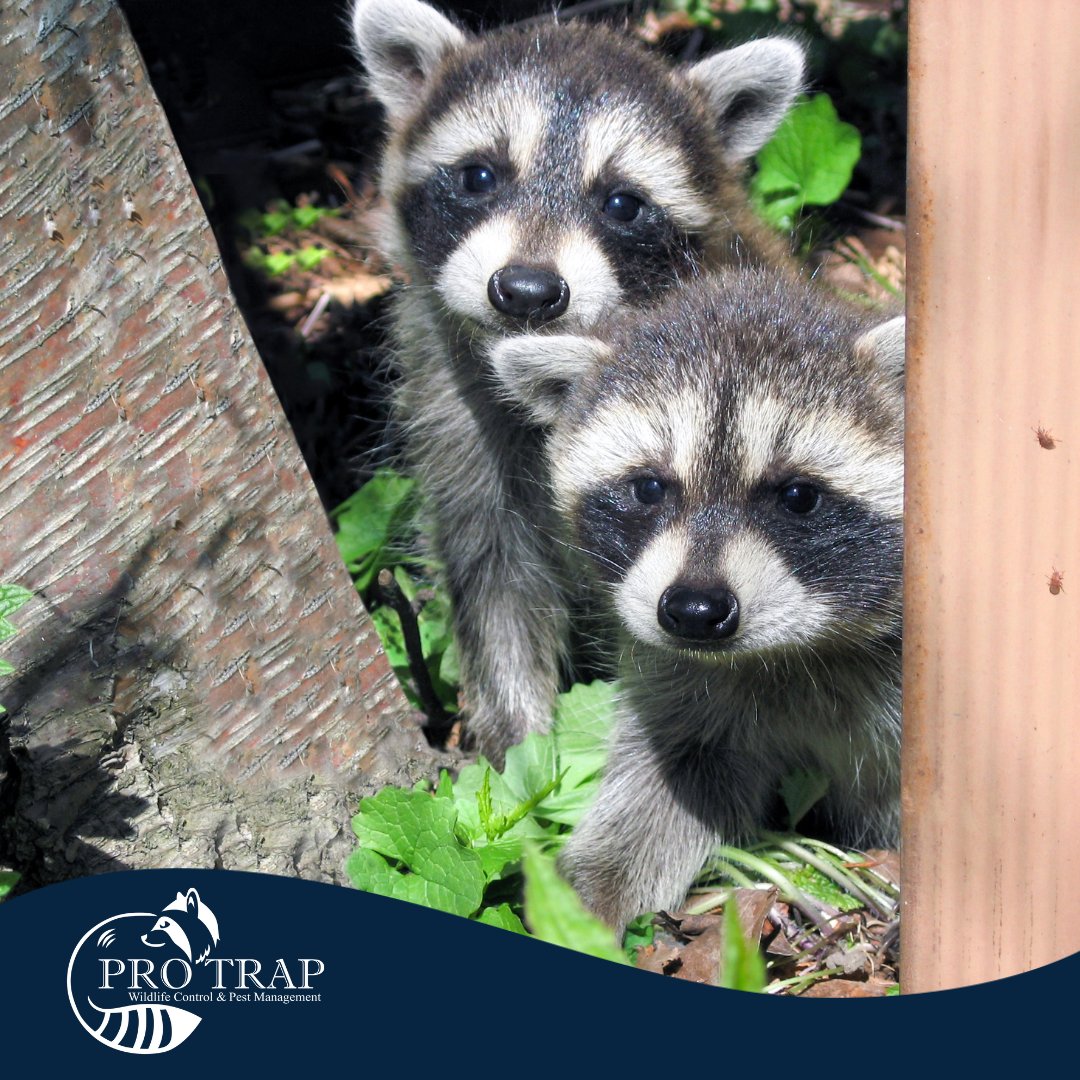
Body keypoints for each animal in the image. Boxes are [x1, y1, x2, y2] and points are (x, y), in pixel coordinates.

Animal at [350, 0, 805, 763]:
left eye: (621, 203)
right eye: (480, 176)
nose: (528, 292)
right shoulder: (455, 403)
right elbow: (494, 581)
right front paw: (516, 747)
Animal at [490, 269, 905, 927]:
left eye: (798, 497)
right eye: (648, 488)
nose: (694, 614)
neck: (796, 652)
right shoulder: (678, 675)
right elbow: (672, 776)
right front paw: (587, 898)